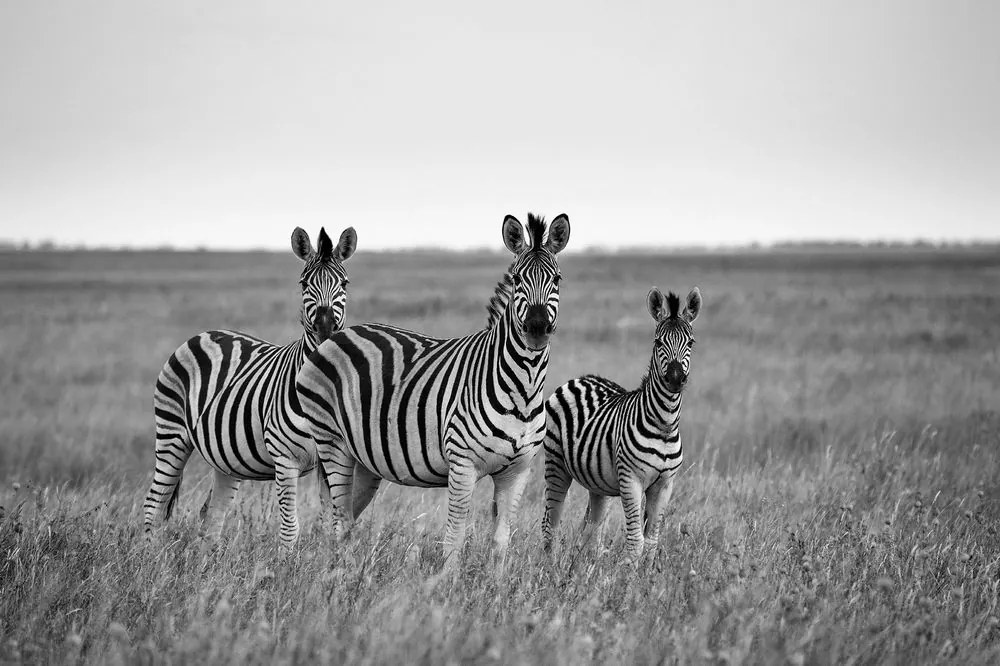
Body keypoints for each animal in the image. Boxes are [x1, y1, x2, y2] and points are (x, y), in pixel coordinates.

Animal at [141, 226, 360, 548]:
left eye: (344, 283)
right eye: (304, 283)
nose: (325, 329)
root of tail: (204, 333)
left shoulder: (331, 457)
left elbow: (333, 523)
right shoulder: (284, 457)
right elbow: (290, 529)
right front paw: (287, 563)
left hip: (224, 458)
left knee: (212, 515)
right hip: (171, 434)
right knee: (154, 505)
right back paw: (149, 556)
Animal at [292, 214, 572, 564]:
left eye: (557, 279)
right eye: (519, 279)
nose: (536, 328)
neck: (522, 387)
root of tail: (335, 336)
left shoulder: (518, 471)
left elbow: (500, 543)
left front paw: (494, 579)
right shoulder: (462, 464)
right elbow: (454, 539)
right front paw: (448, 580)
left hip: (363, 459)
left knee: (342, 519)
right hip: (332, 442)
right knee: (338, 520)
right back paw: (338, 573)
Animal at [540, 284, 704, 560]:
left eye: (690, 342)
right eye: (658, 342)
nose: (675, 379)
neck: (665, 425)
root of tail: (581, 378)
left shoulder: (665, 485)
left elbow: (651, 542)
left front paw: (645, 573)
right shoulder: (631, 480)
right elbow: (636, 541)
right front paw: (628, 572)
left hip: (598, 483)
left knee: (592, 530)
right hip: (556, 464)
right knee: (550, 522)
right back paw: (549, 564)